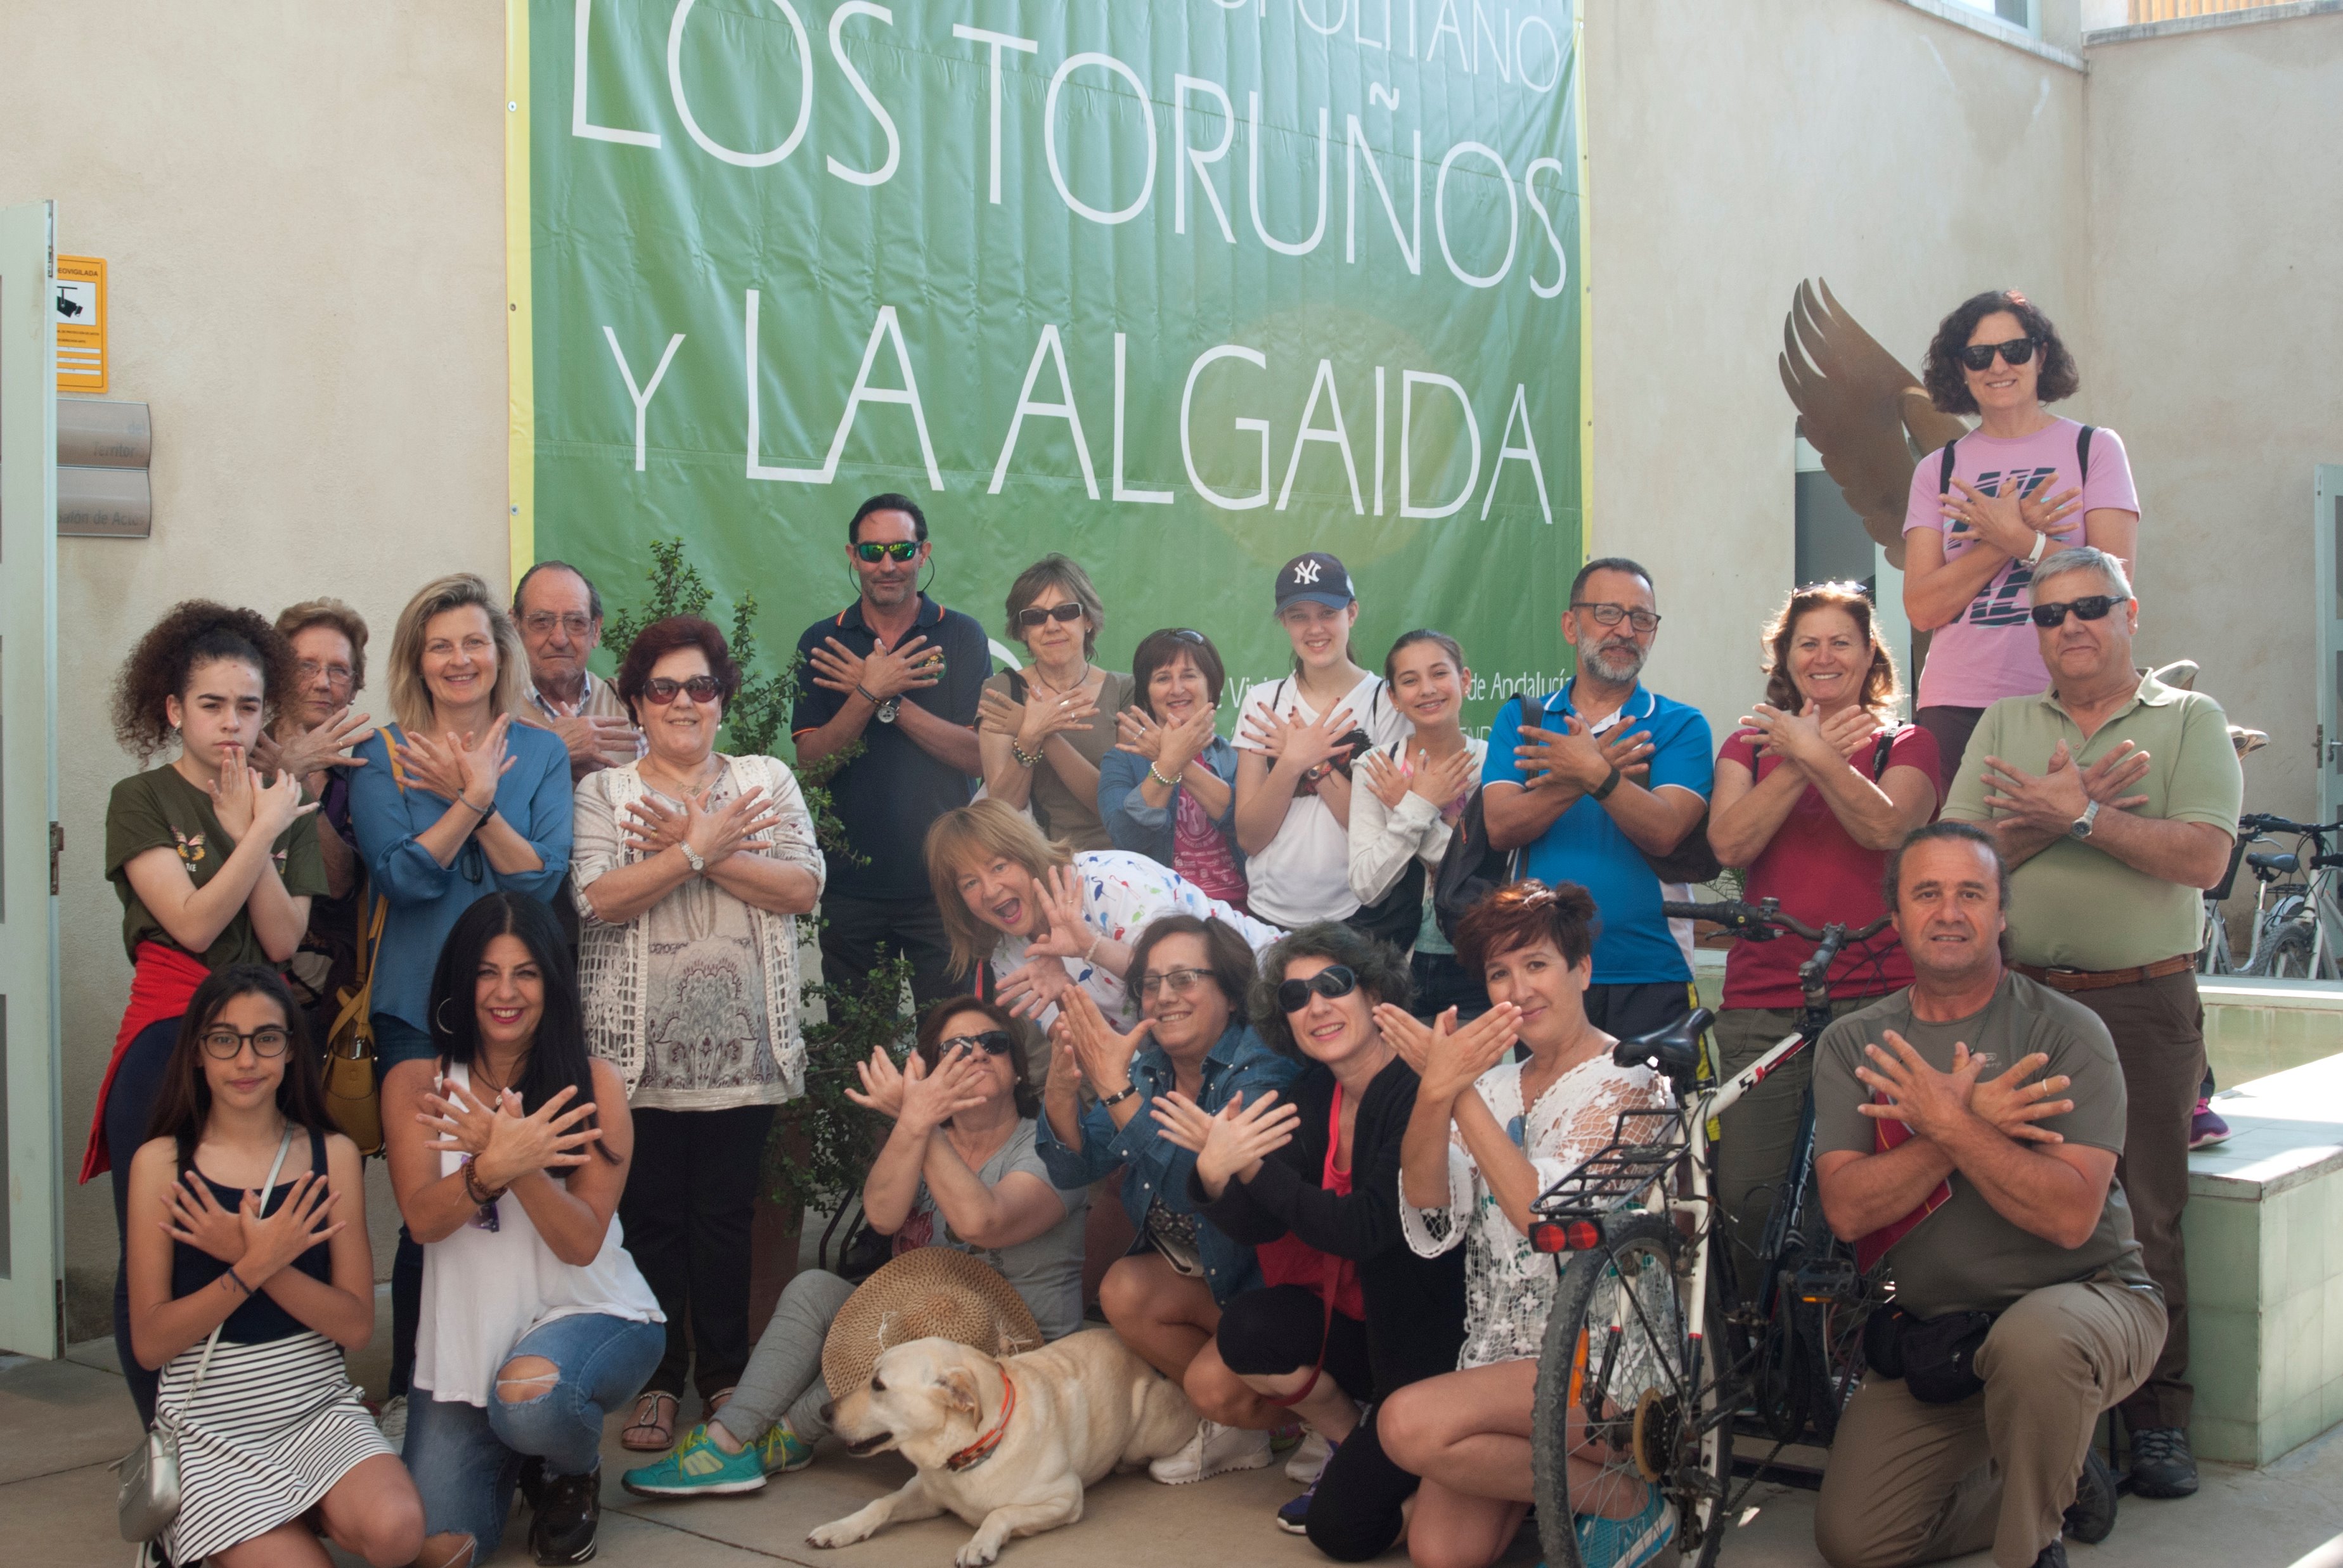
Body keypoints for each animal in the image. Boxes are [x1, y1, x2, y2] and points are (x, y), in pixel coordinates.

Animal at [810, 1321, 1209, 1565]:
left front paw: (979, 1544)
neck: (971, 1450)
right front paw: (840, 1529)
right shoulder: (926, 1491)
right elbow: (881, 1503)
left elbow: (1001, 1512)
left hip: (1151, 1433)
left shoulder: (1066, 1498)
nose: (824, 1411)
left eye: (878, 1385)